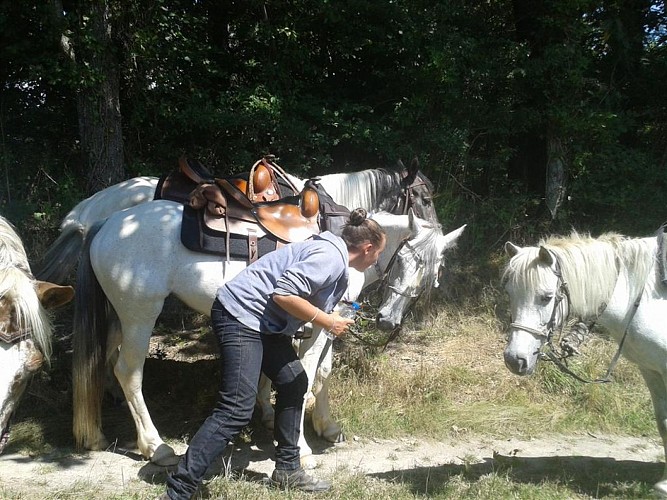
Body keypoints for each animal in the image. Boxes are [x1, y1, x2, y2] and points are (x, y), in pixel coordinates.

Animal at [502, 230, 667, 496]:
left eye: (546, 297)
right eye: (509, 294)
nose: (513, 360)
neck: (644, 296)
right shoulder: (651, 369)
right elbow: (663, 423)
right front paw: (663, 484)